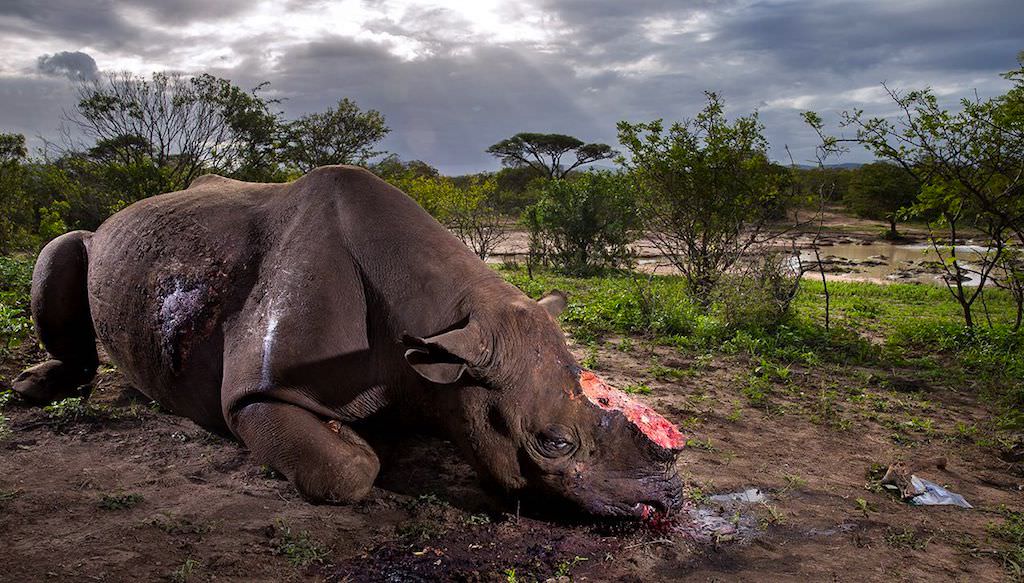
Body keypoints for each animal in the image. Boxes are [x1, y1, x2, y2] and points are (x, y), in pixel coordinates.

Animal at [12, 164, 684, 518]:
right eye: (553, 444)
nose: (667, 503)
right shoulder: (257, 393)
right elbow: (347, 471)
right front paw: (360, 443)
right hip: (99, 242)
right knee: (64, 248)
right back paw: (33, 389)